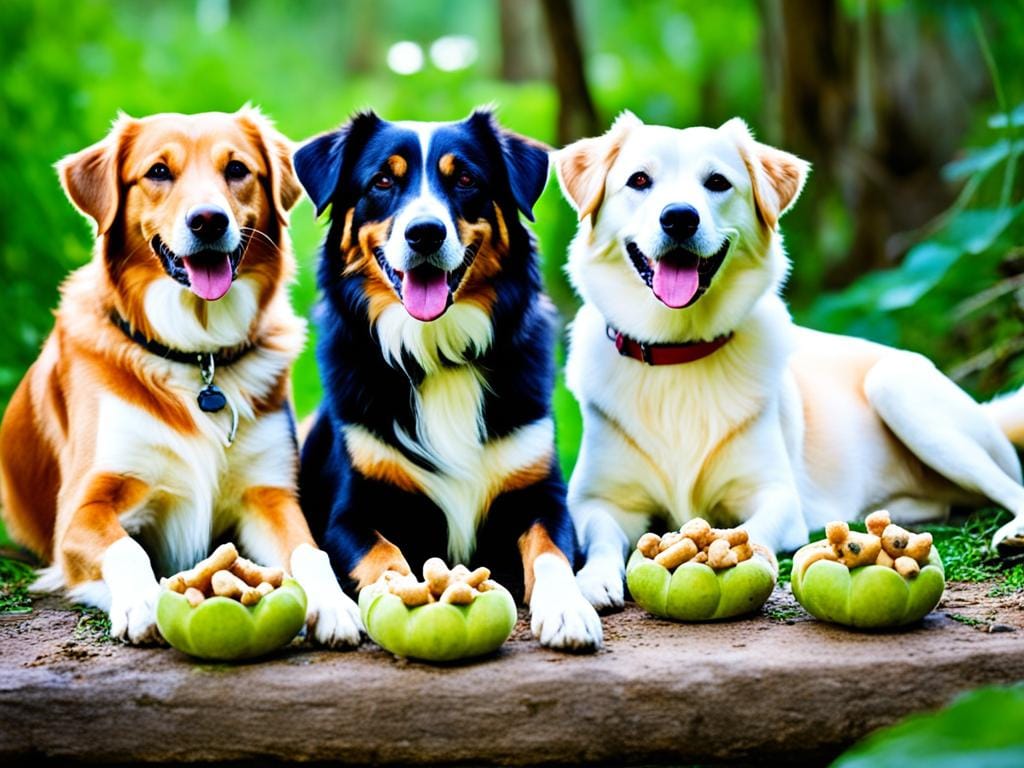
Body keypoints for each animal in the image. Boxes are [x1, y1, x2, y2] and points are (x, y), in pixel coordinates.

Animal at [294, 108, 598, 651]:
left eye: (465, 180)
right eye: (382, 181)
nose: (425, 233)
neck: (438, 356)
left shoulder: (542, 496)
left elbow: (550, 550)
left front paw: (567, 610)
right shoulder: (349, 513)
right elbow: (384, 553)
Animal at [557, 111, 1024, 610]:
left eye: (717, 182)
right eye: (639, 180)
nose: (679, 217)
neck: (678, 351)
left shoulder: (775, 495)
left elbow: (751, 529)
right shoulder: (597, 500)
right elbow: (602, 534)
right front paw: (595, 579)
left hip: (897, 388)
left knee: (1011, 486)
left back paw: (1012, 533)